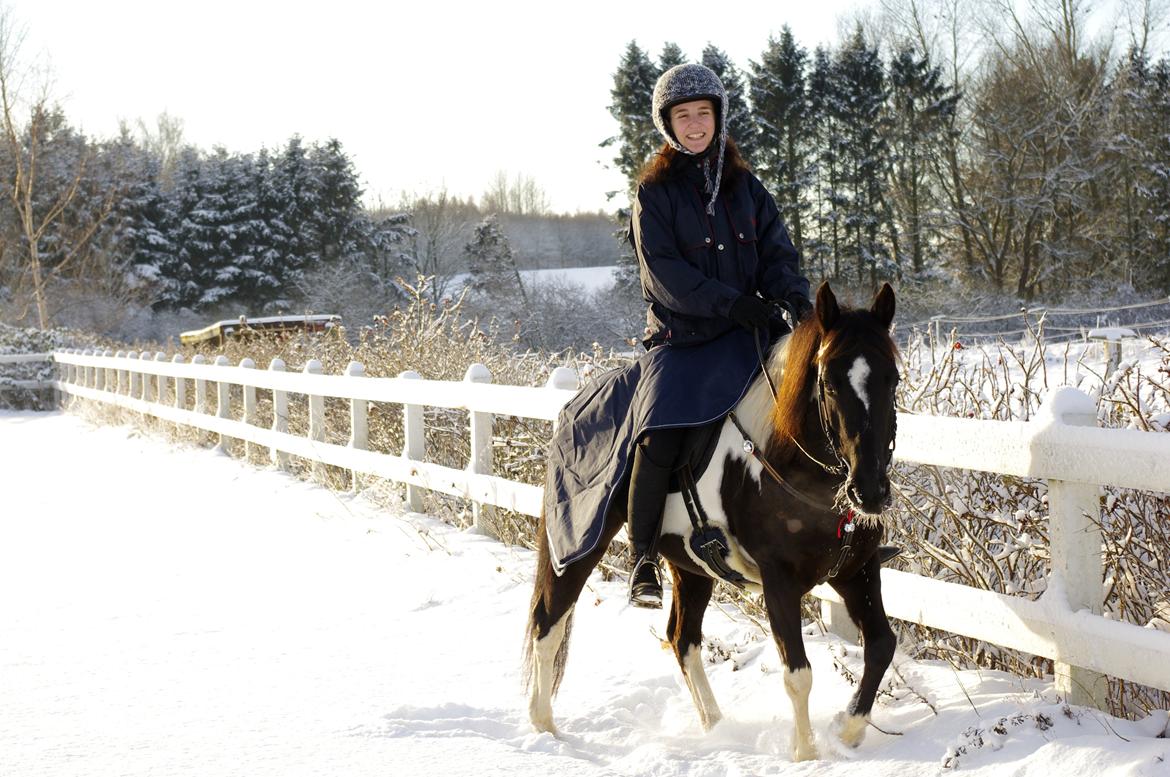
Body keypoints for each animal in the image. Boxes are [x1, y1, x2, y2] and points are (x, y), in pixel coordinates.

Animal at [526, 282, 898, 762]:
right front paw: (806, 754)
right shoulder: (779, 581)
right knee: (548, 624)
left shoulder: (857, 570)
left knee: (682, 639)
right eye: (830, 383)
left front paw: (848, 729)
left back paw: (715, 724)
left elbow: (882, 646)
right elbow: (798, 672)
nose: (869, 491)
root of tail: (574, 405)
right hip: (577, 543)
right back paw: (543, 726)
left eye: (893, 379)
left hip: (691, 567)